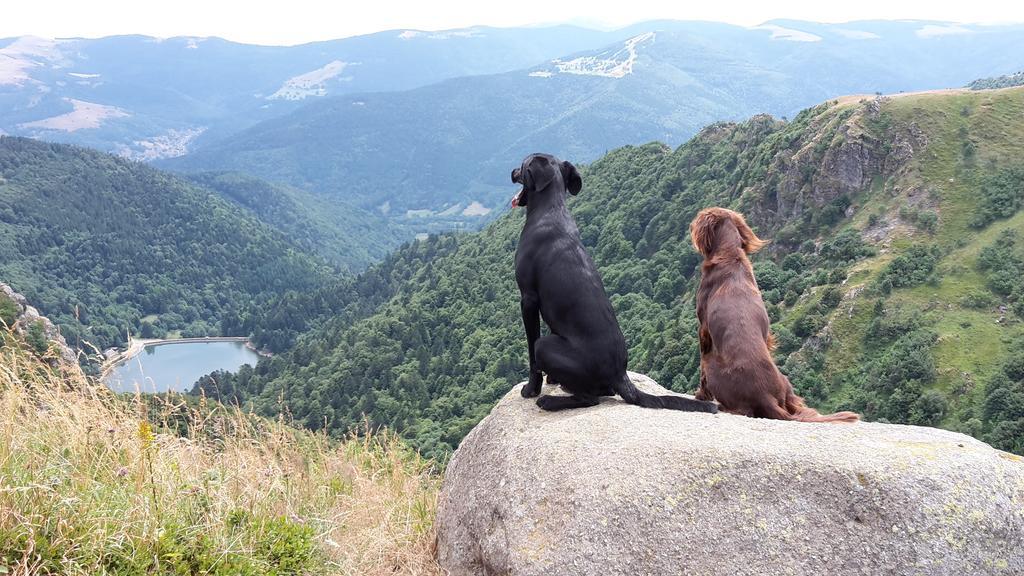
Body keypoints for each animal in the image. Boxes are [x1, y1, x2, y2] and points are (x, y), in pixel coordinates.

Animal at [512, 152, 720, 412]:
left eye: (522, 166)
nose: (511, 172)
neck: (549, 210)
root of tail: (620, 375)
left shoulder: (528, 299)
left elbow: (531, 352)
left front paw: (532, 388)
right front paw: (552, 379)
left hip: (546, 346)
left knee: (588, 397)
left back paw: (550, 400)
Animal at [692, 207, 860, 422]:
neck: (730, 255)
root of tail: (766, 397)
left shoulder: (703, 328)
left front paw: (700, 394)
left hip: (713, 364)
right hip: (786, 383)